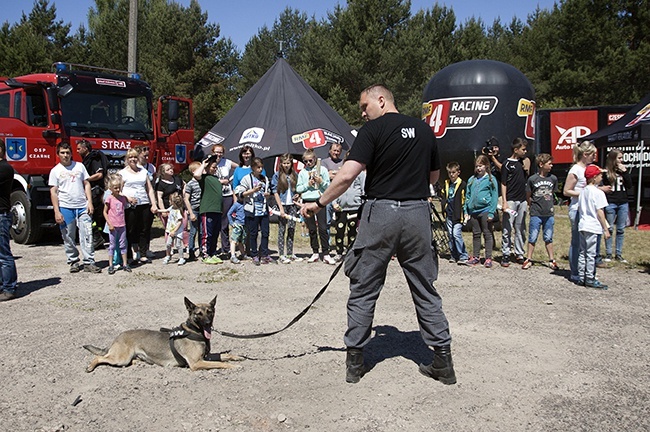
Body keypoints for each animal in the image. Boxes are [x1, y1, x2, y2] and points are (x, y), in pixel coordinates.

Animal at [82, 296, 242, 372]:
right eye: (198, 314)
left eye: (210, 312)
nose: (208, 323)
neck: (194, 331)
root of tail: (118, 337)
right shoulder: (197, 363)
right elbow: (219, 363)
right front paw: (234, 366)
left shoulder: (205, 357)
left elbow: (224, 356)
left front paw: (237, 357)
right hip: (120, 358)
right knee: (98, 357)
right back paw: (90, 367)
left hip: (126, 359)